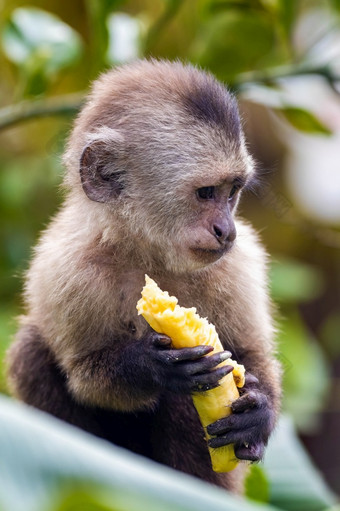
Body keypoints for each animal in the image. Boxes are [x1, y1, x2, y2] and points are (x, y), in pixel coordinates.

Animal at [6, 61, 282, 496]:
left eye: (232, 191)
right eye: (206, 193)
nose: (226, 230)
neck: (148, 252)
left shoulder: (240, 263)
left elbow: (250, 355)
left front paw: (258, 409)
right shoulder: (63, 270)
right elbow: (85, 378)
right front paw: (152, 367)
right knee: (32, 351)